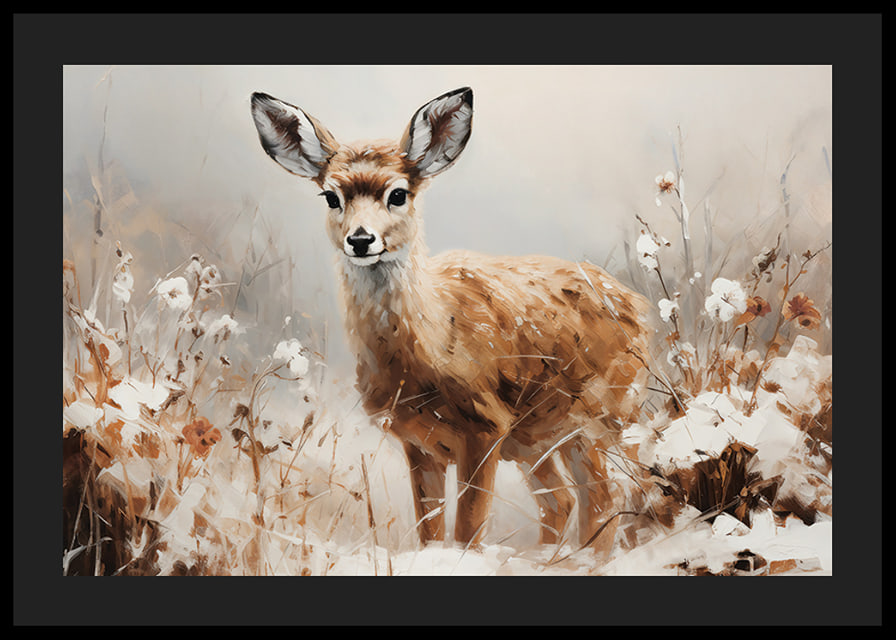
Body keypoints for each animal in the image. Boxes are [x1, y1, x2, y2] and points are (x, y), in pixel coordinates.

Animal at [250, 86, 651, 557]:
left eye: (399, 194)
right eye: (331, 196)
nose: (361, 239)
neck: (430, 345)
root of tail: (640, 308)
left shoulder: (486, 424)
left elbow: (468, 528)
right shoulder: (418, 441)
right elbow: (430, 528)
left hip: (601, 414)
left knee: (607, 496)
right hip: (538, 438)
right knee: (565, 498)